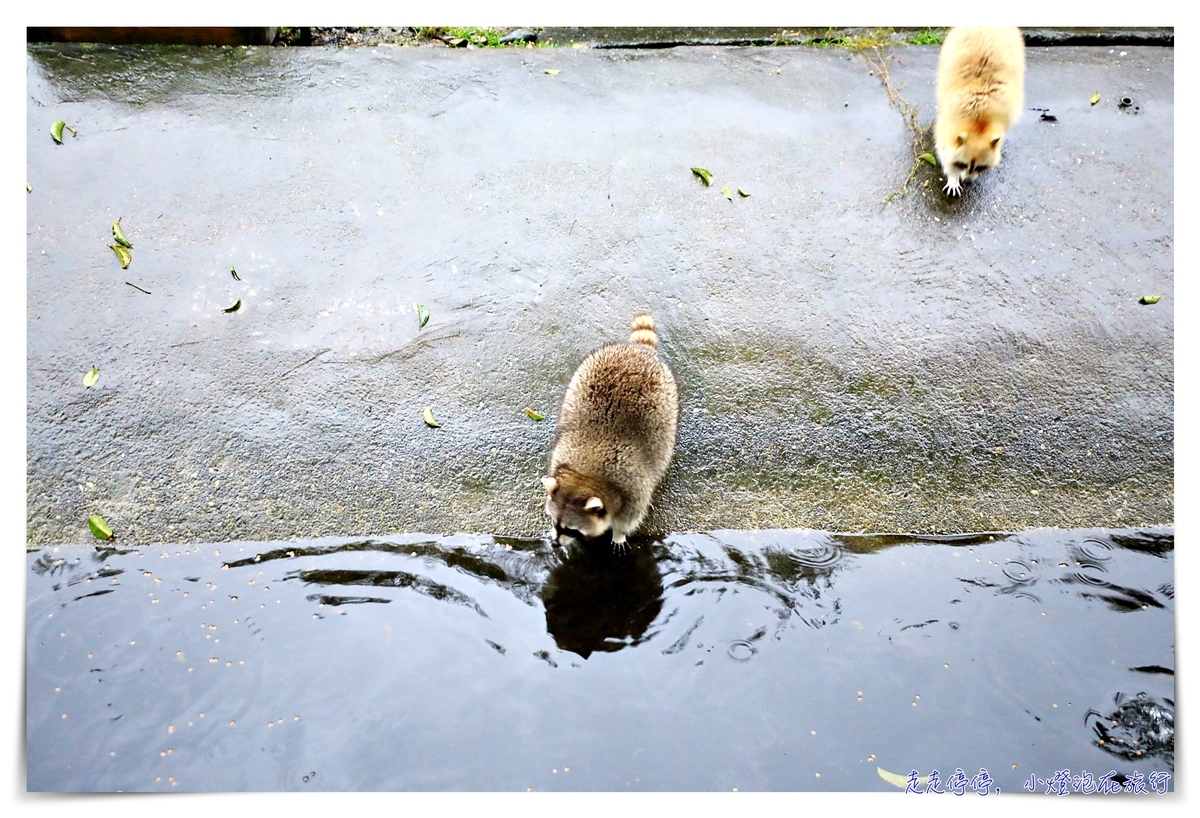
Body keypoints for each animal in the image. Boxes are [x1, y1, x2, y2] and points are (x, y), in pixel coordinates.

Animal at [542, 314, 676, 544]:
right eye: (554, 521)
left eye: (571, 530)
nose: (556, 545)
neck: (585, 476)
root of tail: (636, 350)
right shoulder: (560, 459)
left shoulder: (634, 490)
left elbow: (630, 518)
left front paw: (619, 534)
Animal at [931, 26, 1027, 195]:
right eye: (962, 164)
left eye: (981, 167)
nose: (968, 181)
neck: (979, 119)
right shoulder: (947, 122)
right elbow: (944, 151)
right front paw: (953, 176)